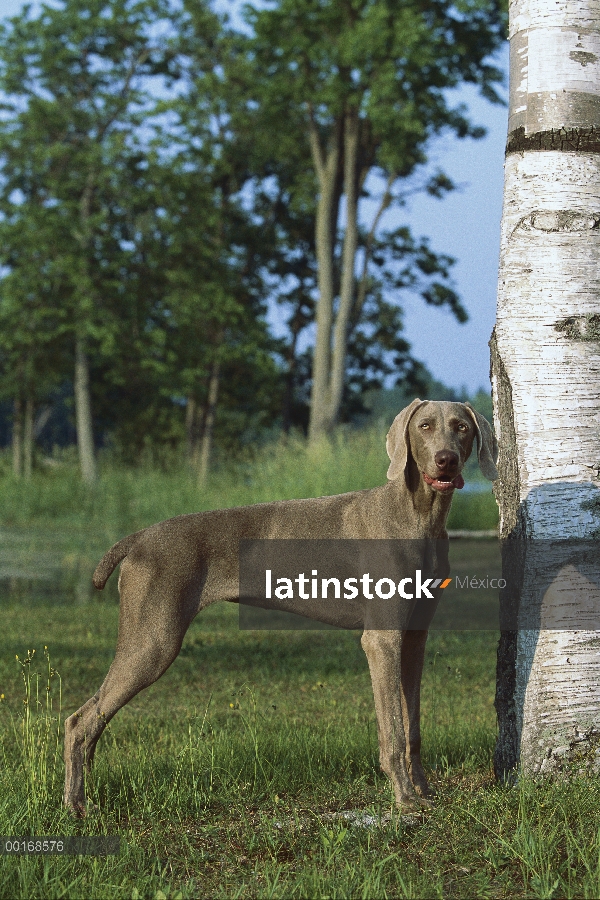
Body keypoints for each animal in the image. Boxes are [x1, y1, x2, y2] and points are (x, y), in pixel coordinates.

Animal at [64, 400, 496, 816]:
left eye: (461, 427)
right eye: (424, 426)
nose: (445, 459)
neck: (419, 514)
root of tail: (137, 538)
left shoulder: (415, 638)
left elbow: (413, 727)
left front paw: (423, 791)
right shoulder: (382, 640)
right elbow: (392, 728)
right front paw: (404, 797)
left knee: (92, 722)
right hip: (152, 642)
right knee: (79, 721)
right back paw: (75, 804)